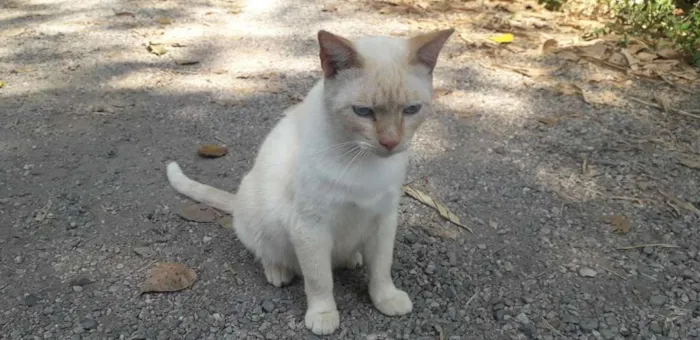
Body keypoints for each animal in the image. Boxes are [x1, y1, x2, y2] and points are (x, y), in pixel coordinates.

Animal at [167, 27, 456, 334]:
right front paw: (323, 314)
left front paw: (385, 298)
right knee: (266, 252)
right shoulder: (310, 228)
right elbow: (319, 280)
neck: (362, 161)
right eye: (363, 112)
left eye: (411, 110)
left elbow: (381, 267)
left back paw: (352, 259)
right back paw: (278, 271)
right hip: (263, 222)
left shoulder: (384, 219)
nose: (390, 143)